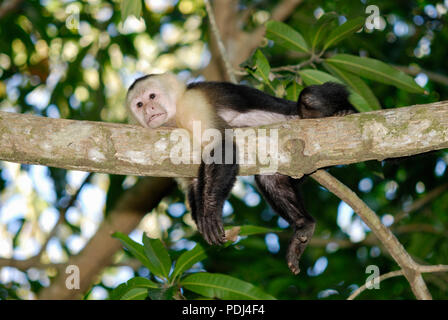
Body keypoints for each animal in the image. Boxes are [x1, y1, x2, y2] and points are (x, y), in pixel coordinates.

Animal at [124, 73, 356, 276]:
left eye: (152, 97)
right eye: (139, 104)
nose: (149, 109)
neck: (175, 117)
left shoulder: (192, 103)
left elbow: (222, 146)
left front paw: (209, 212)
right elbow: (195, 181)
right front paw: (202, 217)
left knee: (309, 97)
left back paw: (345, 112)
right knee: (270, 178)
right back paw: (303, 225)